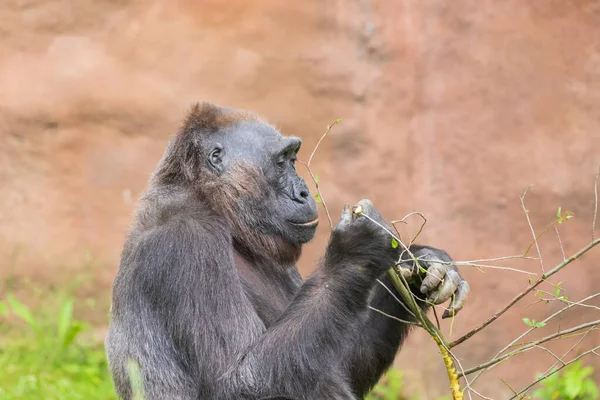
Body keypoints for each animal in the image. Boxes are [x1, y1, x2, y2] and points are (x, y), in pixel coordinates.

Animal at [105, 103, 472, 400]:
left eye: (293, 159)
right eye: (282, 163)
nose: (303, 191)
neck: (211, 203)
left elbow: (341, 359)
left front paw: (422, 266)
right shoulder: (186, 243)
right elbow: (238, 381)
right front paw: (356, 250)